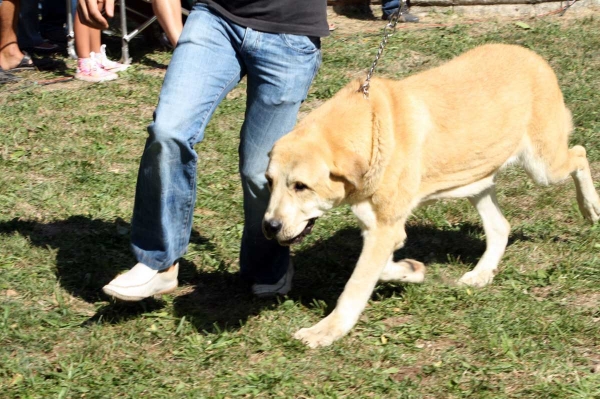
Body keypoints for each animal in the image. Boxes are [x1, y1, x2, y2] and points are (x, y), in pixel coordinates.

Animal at [262, 43, 600, 348]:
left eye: (301, 186)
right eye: (269, 182)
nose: (269, 227)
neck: (371, 132)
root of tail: (530, 55)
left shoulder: (384, 229)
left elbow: (355, 286)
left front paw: (326, 331)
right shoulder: (378, 226)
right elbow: (381, 268)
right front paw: (411, 270)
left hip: (542, 166)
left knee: (580, 154)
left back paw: (590, 208)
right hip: (476, 176)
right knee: (500, 227)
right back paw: (482, 273)